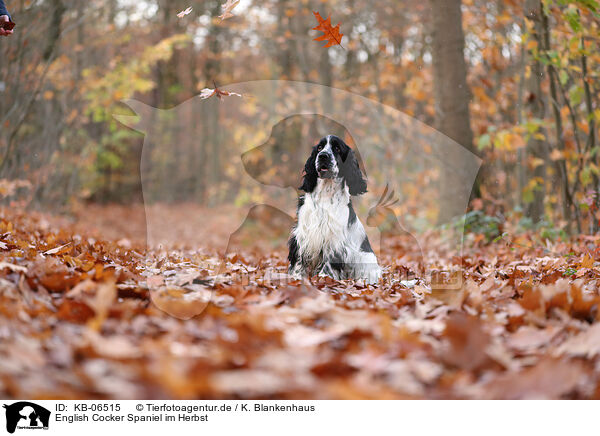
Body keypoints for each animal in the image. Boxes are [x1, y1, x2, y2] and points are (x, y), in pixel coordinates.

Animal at [288, 136, 382, 286]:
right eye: (319, 148)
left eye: (337, 148)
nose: (323, 156)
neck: (325, 194)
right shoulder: (303, 235)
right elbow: (298, 262)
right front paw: (296, 279)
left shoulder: (334, 240)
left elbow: (329, 262)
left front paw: (323, 278)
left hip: (366, 258)